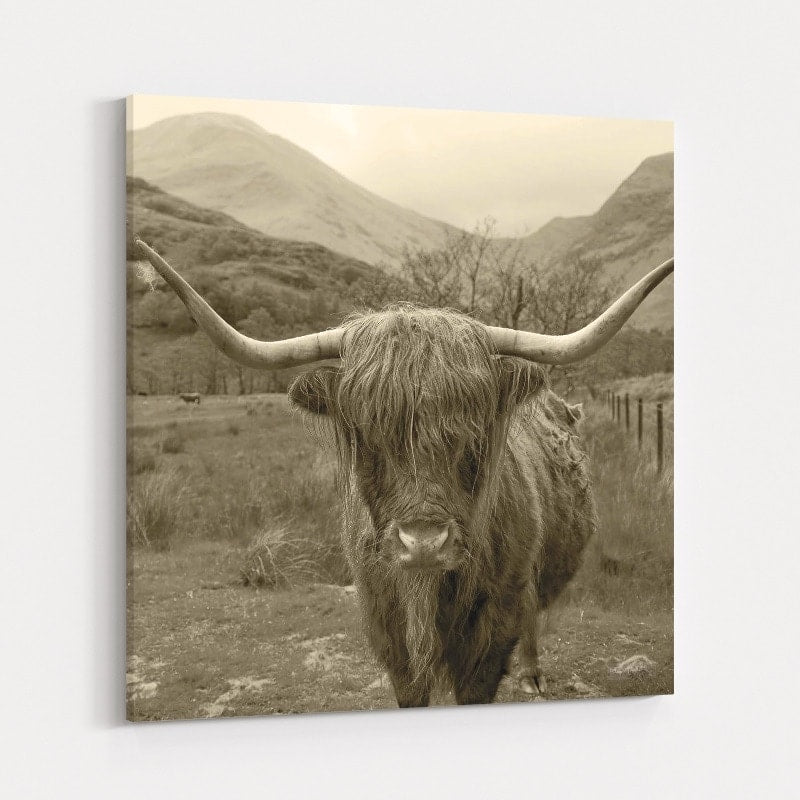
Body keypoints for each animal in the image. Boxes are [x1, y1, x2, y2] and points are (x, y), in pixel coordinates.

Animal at [134, 237, 673, 706]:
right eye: (367, 432)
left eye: (473, 431)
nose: (424, 543)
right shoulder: (386, 626)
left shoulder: (492, 629)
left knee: (534, 618)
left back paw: (534, 675)